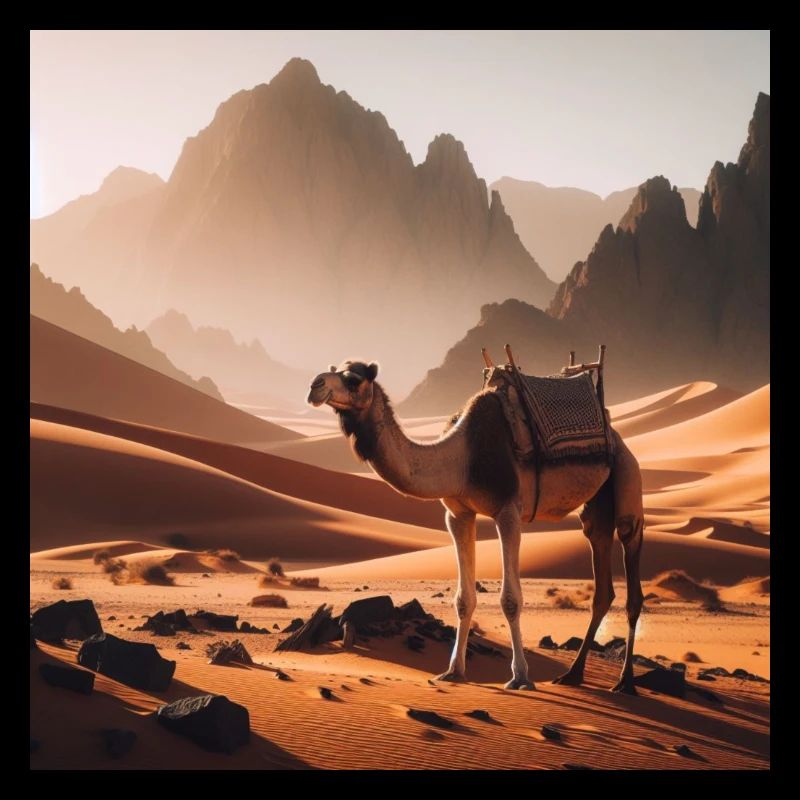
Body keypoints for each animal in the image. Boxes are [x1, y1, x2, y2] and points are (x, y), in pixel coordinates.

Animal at [307, 359, 644, 693]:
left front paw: (521, 677)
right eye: (333, 368)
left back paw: (625, 682)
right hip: (597, 506)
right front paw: (453, 671)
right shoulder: (458, 515)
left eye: (352, 379)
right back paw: (572, 675)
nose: (314, 386)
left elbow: (510, 599)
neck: (461, 459)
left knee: (630, 558)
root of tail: (615, 434)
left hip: (627, 472)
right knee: (600, 567)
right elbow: (463, 599)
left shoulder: (508, 511)